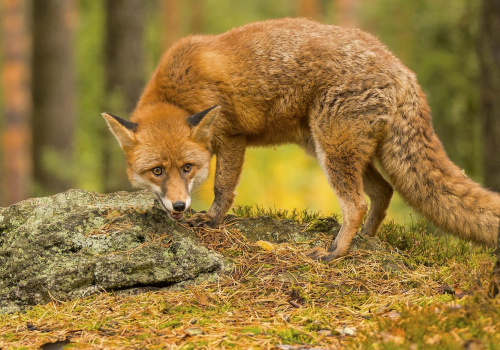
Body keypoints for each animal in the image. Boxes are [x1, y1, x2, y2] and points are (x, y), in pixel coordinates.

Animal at [102, 18, 500, 260]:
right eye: (156, 171)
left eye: (187, 168)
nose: (179, 206)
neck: (178, 93)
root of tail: (401, 68)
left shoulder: (231, 136)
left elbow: (223, 188)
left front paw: (211, 220)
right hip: (332, 149)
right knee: (382, 193)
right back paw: (365, 240)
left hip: (333, 150)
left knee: (356, 203)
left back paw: (337, 251)